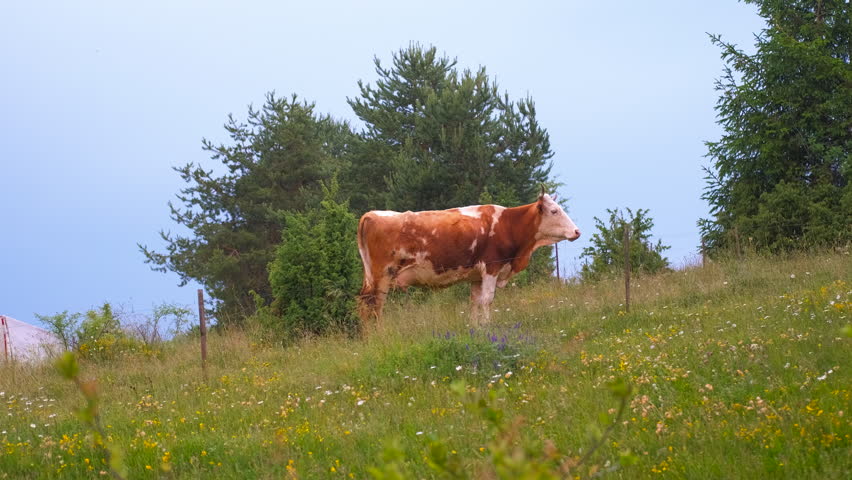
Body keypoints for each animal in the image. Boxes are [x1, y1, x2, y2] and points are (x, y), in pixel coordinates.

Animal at [356, 188, 580, 326]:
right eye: (554, 211)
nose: (577, 231)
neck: (507, 224)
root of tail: (371, 214)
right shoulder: (491, 268)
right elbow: (487, 300)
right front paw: (488, 326)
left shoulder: (476, 276)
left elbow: (475, 301)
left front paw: (476, 328)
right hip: (382, 276)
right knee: (375, 307)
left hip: (372, 278)